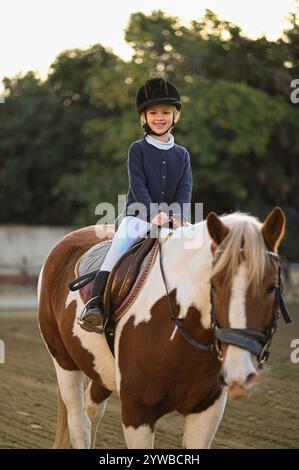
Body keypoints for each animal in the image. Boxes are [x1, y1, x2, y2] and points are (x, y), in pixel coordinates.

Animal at [37, 208, 290, 448]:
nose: (240, 372)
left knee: (92, 410)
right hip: (64, 362)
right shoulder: (137, 411)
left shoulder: (207, 410)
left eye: (271, 287)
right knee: (79, 423)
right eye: (214, 284)